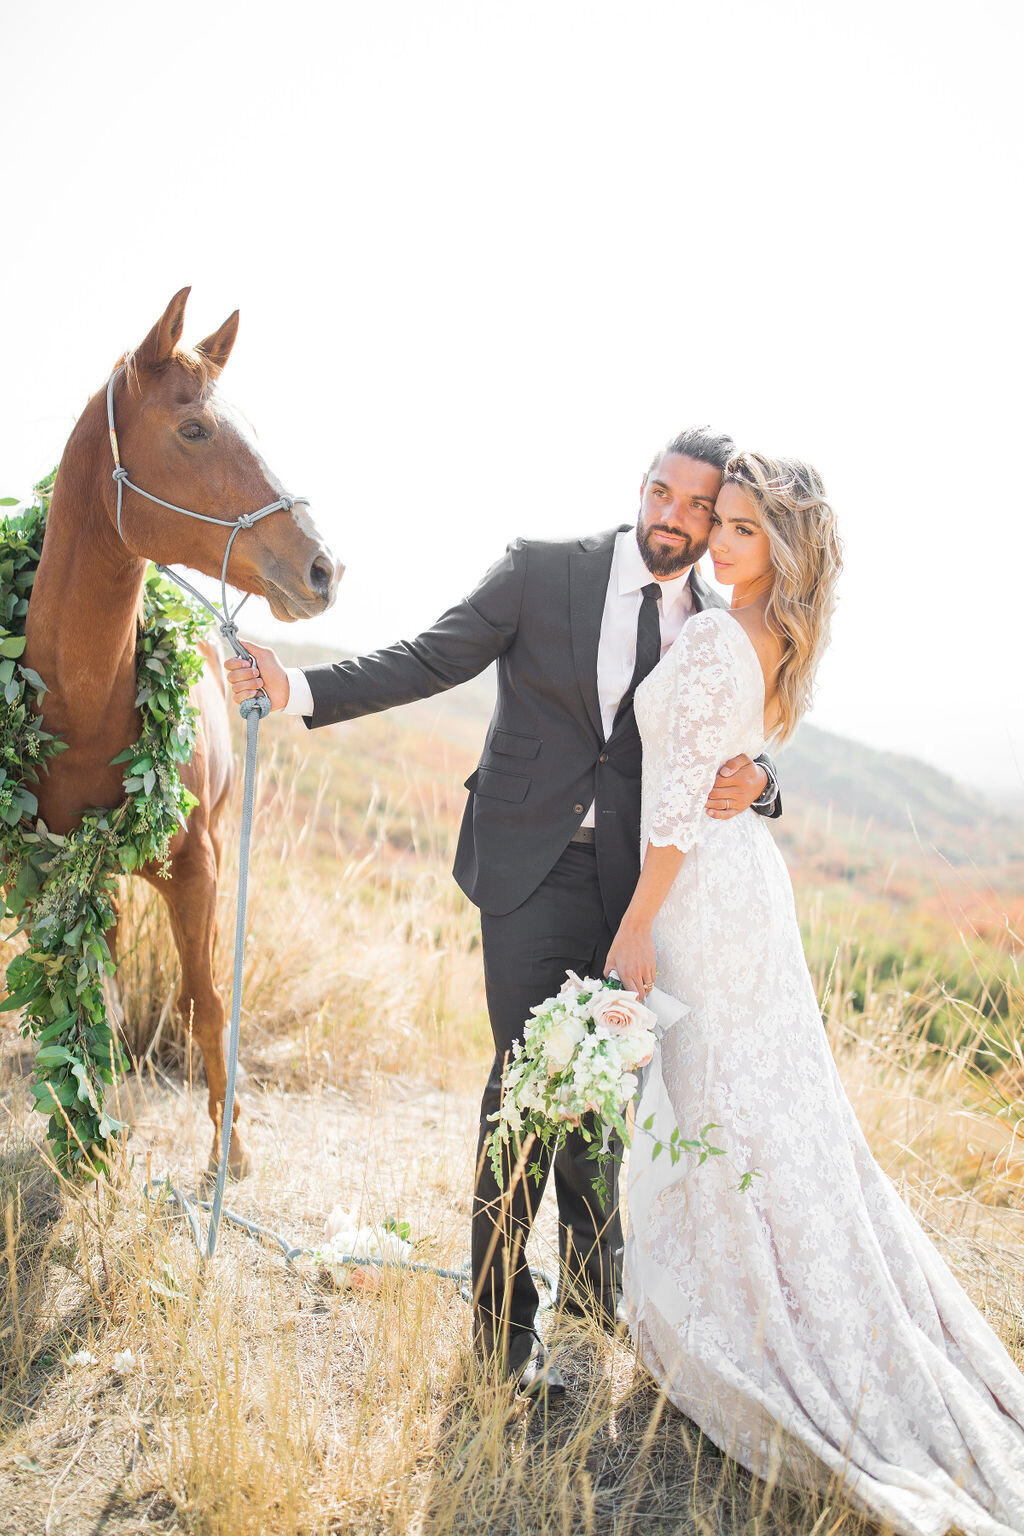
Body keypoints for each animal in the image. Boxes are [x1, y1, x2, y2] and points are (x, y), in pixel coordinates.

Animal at [22, 288, 342, 1173]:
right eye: (193, 429)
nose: (323, 568)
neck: (82, 706)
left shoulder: (198, 869)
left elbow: (206, 1003)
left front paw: (229, 1151)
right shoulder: (37, 870)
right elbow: (73, 992)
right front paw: (82, 1141)